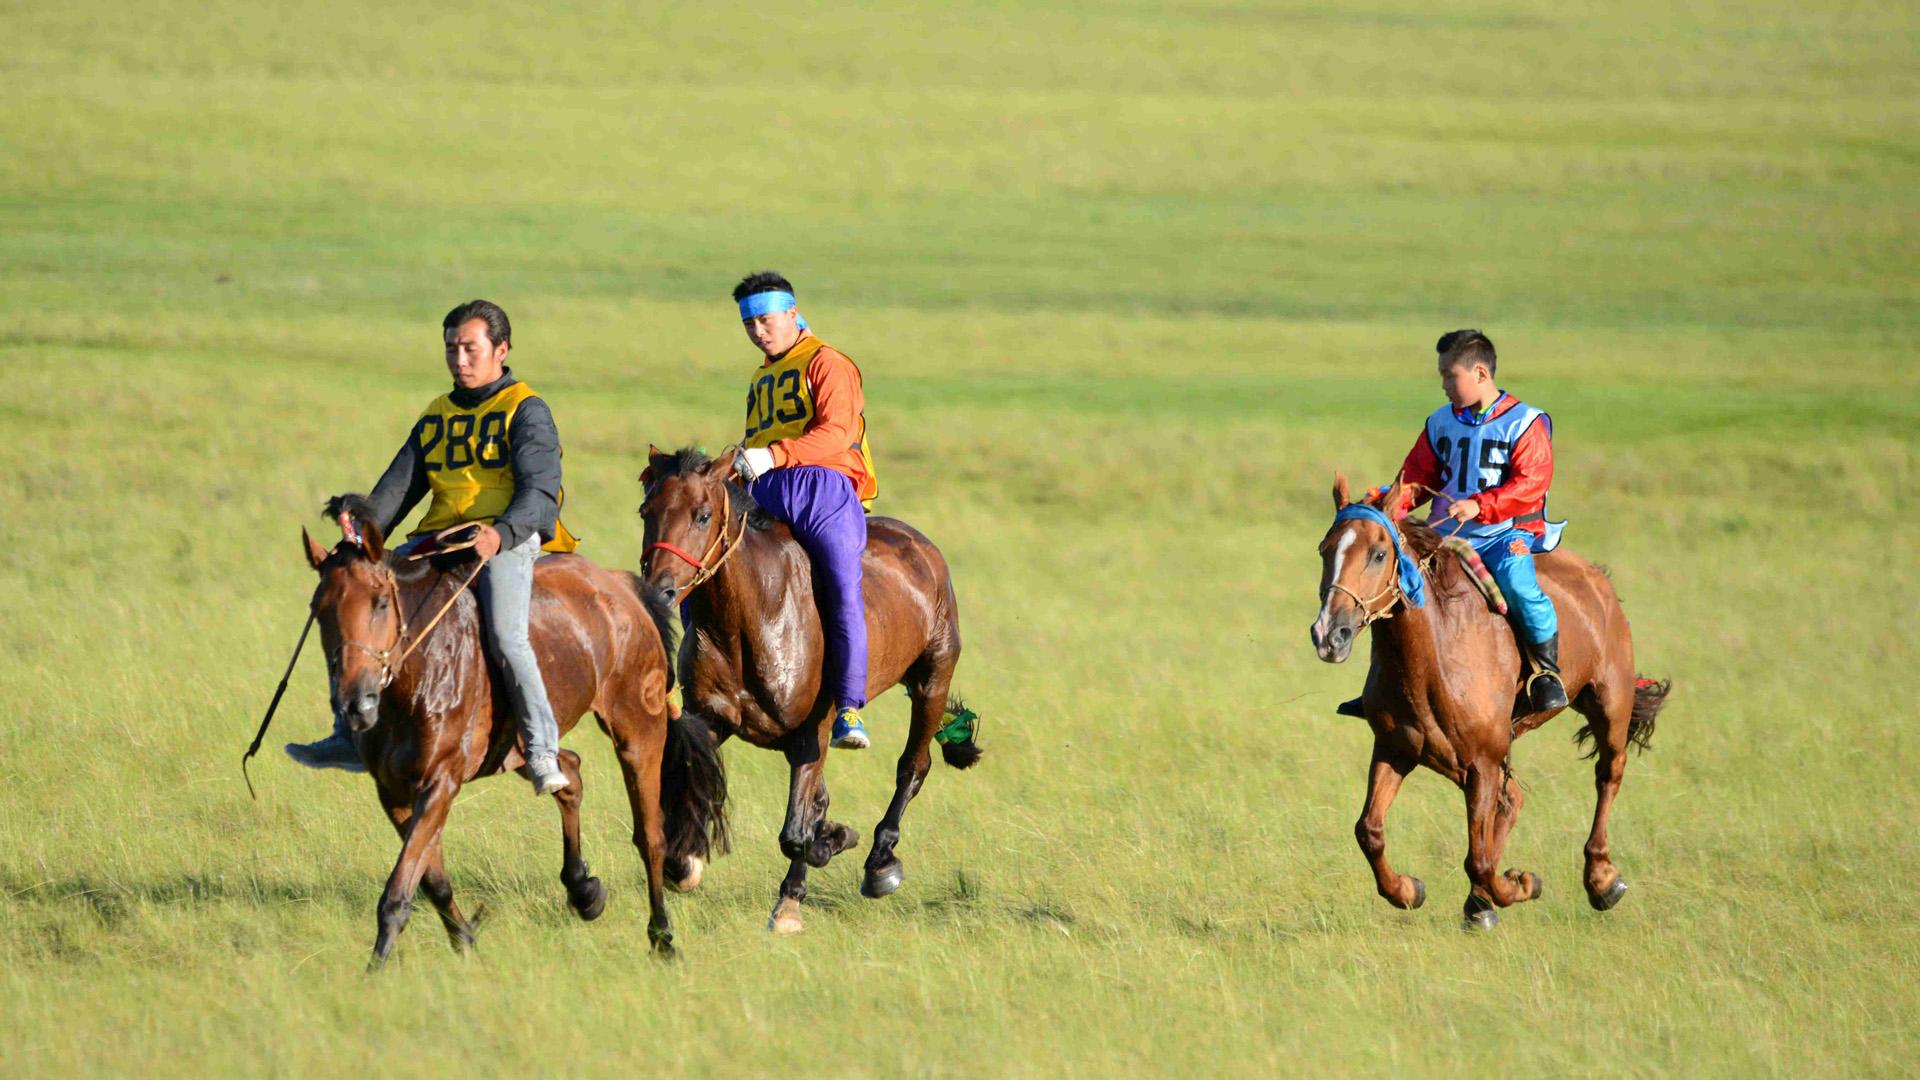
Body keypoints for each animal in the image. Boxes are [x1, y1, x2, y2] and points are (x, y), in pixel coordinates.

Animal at [299, 491, 725, 960]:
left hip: (638, 731)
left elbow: (398, 892)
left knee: (650, 836)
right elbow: (431, 879)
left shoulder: (440, 782)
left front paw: (377, 967)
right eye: (319, 609)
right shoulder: (393, 791)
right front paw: (465, 942)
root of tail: (618, 585)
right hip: (521, 748)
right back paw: (584, 891)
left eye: (378, 602)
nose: (356, 703)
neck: (418, 678)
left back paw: (662, 938)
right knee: (569, 772)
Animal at [637, 445, 983, 933]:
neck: (752, 618)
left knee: (912, 768)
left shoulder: (812, 732)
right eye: (646, 511)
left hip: (932, 679)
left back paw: (880, 861)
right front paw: (683, 863)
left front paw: (825, 851)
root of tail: (919, 544)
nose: (660, 591)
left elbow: (795, 834)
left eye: (702, 515)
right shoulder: (711, 719)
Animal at [1305, 474, 1666, 930]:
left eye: (1378, 554)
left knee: (1608, 775)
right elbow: (1369, 830)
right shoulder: (1395, 749)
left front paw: (1520, 884)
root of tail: (1597, 580)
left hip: (1608, 706)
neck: (1434, 658)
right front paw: (1409, 889)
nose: (1328, 634)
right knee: (1511, 802)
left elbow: (1479, 860)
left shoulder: (1482, 761)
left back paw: (1601, 880)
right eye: (1325, 549)